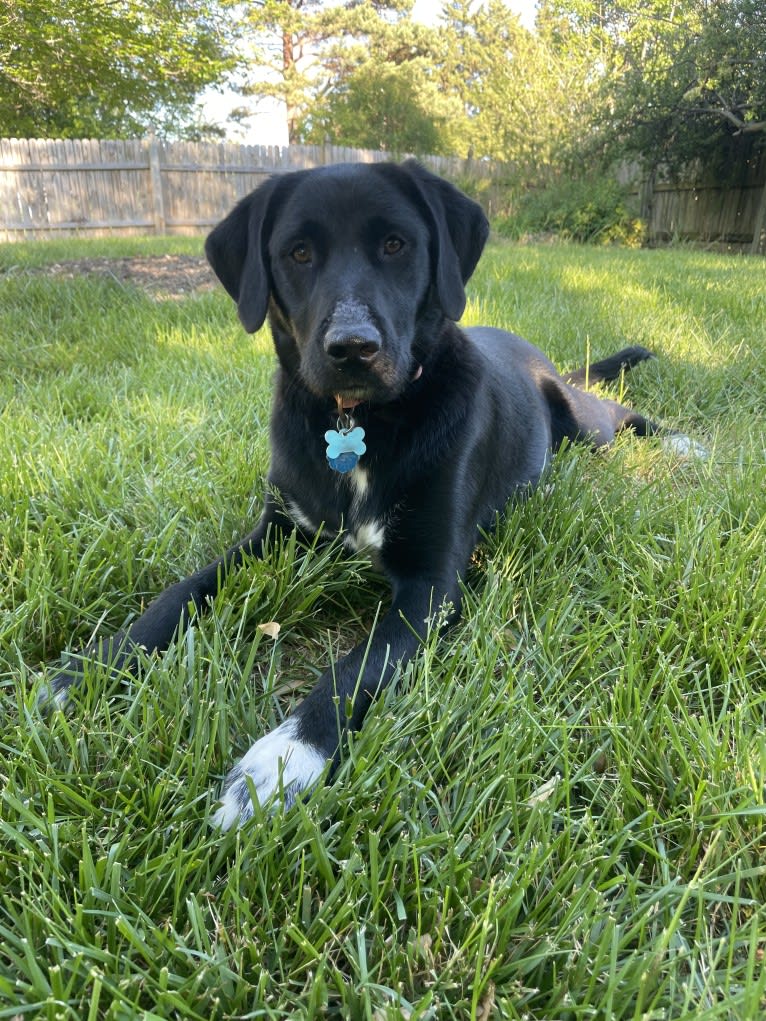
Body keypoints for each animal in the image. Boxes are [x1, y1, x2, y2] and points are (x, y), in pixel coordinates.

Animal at [41, 161, 702, 829]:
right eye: (298, 252)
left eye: (395, 244)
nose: (352, 348)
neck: (359, 423)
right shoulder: (277, 532)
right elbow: (177, 595)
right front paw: (91, 668)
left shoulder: (430, 588)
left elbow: (353, 668)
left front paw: (280, 762)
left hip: (584, 424)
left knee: (618, 413)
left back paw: (684, 444)